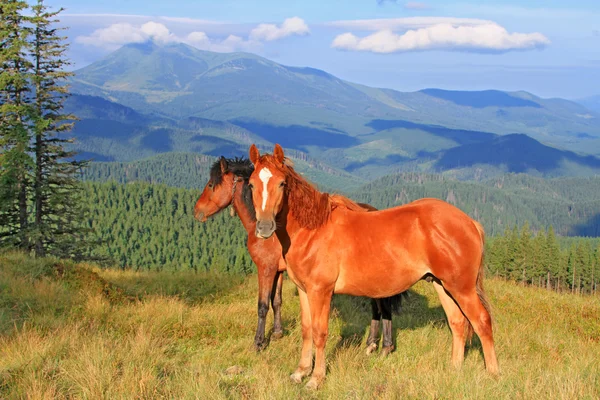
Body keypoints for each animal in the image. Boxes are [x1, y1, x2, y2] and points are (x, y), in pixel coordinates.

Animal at [195, 156, 404, 354]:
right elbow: (276, 301)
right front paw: (277, 333)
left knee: (382, 305)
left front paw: (258, 343)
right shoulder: (278, 271)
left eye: (211, 184)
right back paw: (372, 343)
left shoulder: (265, 269)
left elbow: (262, 306)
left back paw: (384, 345)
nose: (197, 211)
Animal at [246, 145, 500, 390]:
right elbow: (307, 330)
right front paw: (300, 372)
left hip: (462, 288)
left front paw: (316, 379)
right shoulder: (304, 291)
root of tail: (469, 222)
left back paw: (493, 374)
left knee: (482, 321)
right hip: (442, 285)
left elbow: (319, 332)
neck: (313, 229)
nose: (265, 227)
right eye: (251, 183)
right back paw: (455, 368)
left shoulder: (321, 291)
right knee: (457, 323)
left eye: (281, 183)